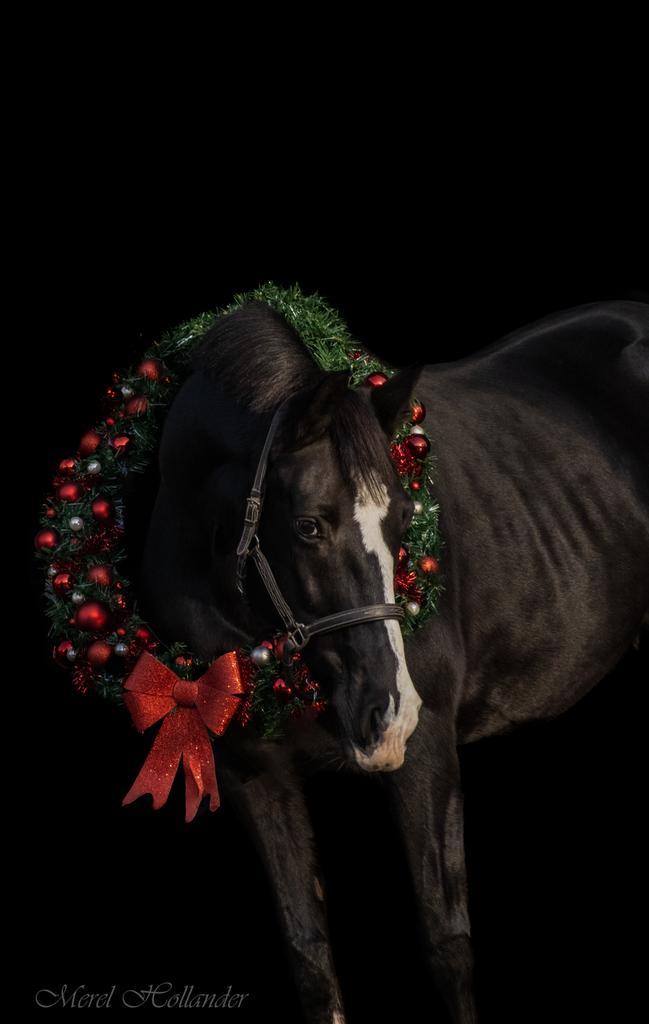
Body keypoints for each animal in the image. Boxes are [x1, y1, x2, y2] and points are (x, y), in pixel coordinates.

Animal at [140, 298, 649, 1024]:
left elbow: (447, 945)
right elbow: (310, 958)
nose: (387, 711)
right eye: (309, 526)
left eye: (407, 517)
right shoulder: (252, 773)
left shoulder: (428, 750)